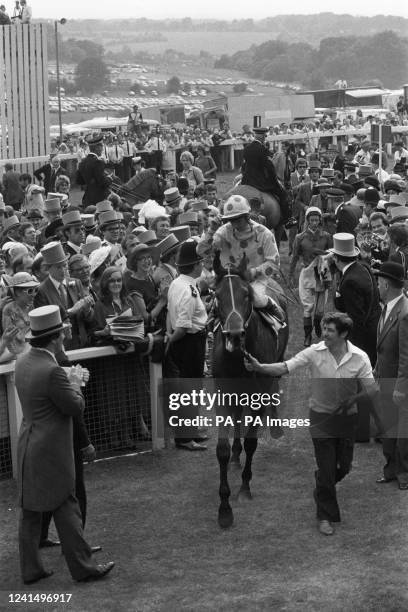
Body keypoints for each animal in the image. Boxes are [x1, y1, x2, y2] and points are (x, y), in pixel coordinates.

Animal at [212, 251, 288, 528]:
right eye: (216, 295)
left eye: (246, 294)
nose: (234, 335)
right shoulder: (222, 395)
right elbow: (222, 450)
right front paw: (224, 508)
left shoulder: (257, 393)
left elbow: (252, 442)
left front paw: (244, 488)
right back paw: (236, 455)